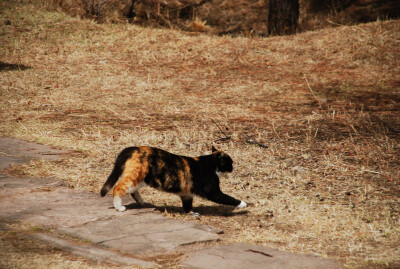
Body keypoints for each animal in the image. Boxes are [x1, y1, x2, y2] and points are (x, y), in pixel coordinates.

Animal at [100, 146, 247, 213]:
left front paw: (190, 213)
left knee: (131, 191)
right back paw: (119, 207)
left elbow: (187, 205)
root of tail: (132, 148)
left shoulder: (187, 194)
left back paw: (142, 202)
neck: (210, 163)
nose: (233, 167)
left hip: (141, 179)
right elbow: (228, 198)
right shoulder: (213, 191)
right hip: (136, 176)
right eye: (230, 162)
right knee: (118, 188)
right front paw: (243, 204)